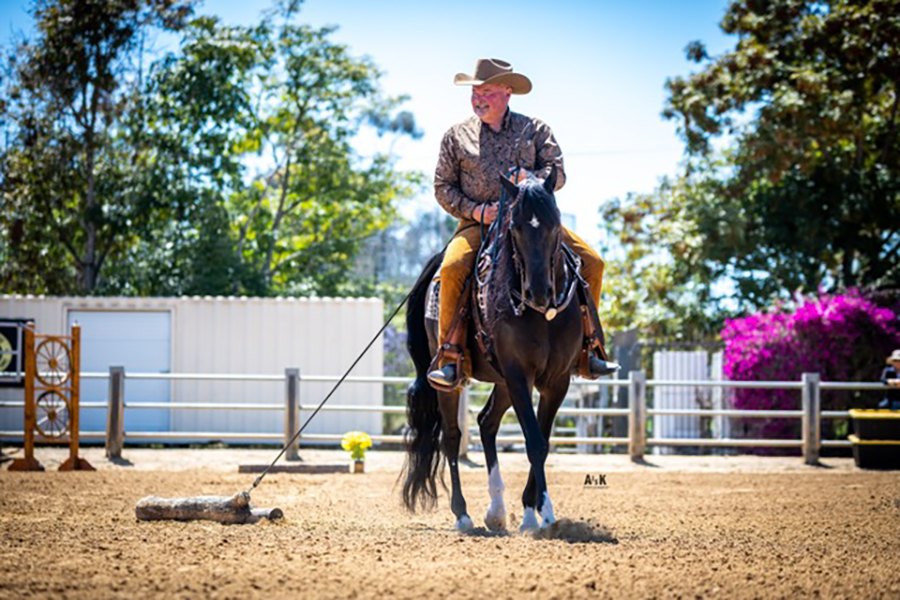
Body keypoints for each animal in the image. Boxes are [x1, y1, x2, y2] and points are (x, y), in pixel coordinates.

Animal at [404, 168, 588, 528]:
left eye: (556, 223)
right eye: (515, 227)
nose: (538, 292)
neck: (541, 315)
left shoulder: (556, 381)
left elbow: (543, 439)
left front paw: (533, 511)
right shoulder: (518, 374)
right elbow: (534, 442)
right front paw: (542, 515)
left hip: (503, 382)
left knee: (487, 422)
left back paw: (497, 511)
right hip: (455, 381)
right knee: (451, 437)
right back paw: (463, 514)